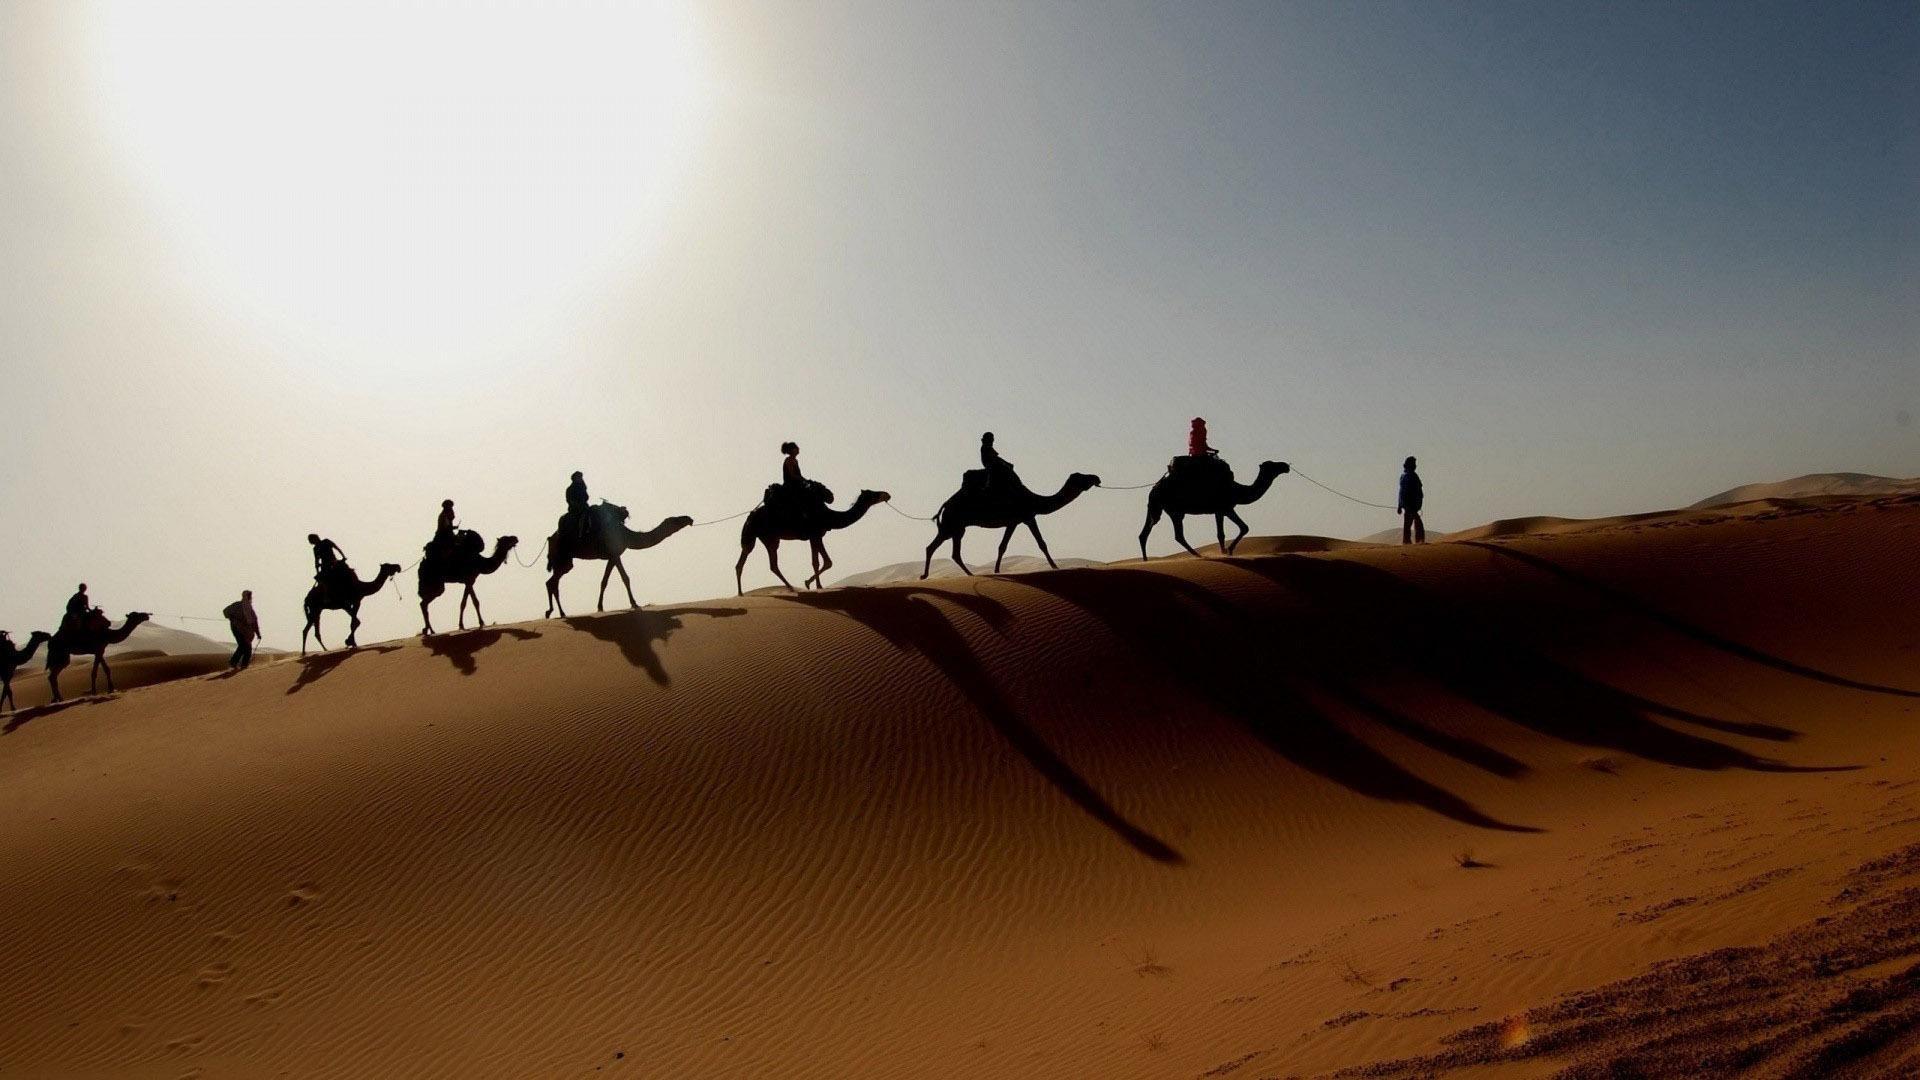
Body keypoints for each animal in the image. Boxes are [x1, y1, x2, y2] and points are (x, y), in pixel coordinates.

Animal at [545, 499, 695, 614]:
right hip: (562, 557)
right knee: (552, 582)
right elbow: (625, 578)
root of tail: (550, 539)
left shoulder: (612, 556)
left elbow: (604, 581)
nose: (689, 519)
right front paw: (634, 604)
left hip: (564, 561)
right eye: (675, 520)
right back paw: (559, 612)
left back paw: (555, 612)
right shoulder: (615, 554)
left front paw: (600, 607)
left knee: (552, 582)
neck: (627, 535)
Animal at [733, 486, 890, 591]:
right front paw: (813, 584)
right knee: (767, 562)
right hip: (767, 537)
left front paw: (813, 584)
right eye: (873, 494)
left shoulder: (816, 536)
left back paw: (742, 593)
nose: (887, 494)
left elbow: (822, 561)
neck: (830, 516)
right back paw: (790, 587)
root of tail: (750, 517)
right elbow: (822, 561)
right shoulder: (815, 535)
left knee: (748, 560)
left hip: (764, 537)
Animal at [921, 468, 1105, 576]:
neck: (1035, 500)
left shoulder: (1014, 521)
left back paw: (966, 574)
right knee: (935, 547)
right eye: (1081, 477)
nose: (1096, 477)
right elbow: (1041, 543)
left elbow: (1002, 546)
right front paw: (1055, 567)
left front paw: (996, 570)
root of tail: (945, 505)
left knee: (950, 552)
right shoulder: (1027, 517)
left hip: (956, 528)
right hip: (952, 525)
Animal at [1136, 455, 1290, 557]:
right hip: (1175, 510)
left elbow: (1222, 533)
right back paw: (1198, 555)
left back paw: (1146, 561)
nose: (1286, 466)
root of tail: (1155, 487)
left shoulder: (1220, 511)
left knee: (1145, 533)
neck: (1237, 490)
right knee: (1177, 535)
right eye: (1272, 465)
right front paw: (1228, 551)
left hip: (1157, 507)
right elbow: (1243, 528)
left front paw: (1225, 551)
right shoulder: (1226, 508)